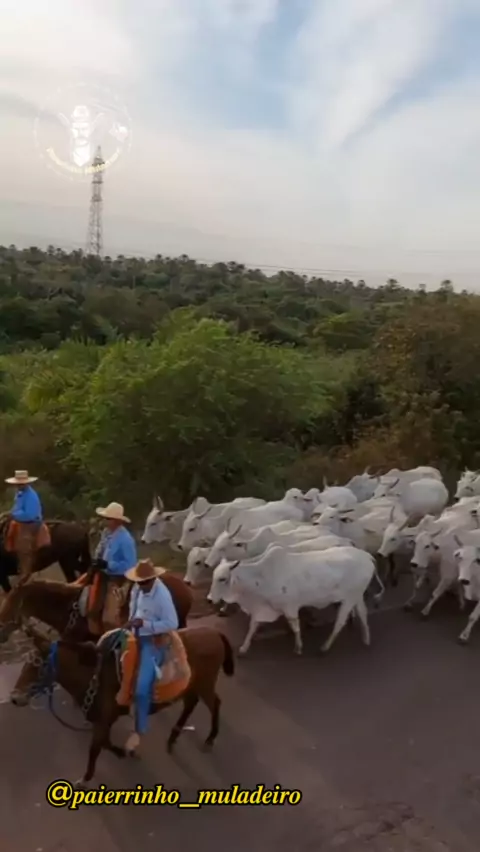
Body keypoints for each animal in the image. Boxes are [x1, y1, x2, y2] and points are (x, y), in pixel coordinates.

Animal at [12, 620, 234, 786]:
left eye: (38, 665)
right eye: (25, 663)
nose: (14, 697)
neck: (96, 675)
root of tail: (215, 633)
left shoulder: (103, 721)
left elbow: (96, 747)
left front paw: (86, 778)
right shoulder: (103, 721)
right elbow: (105, 742)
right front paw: (124, 751)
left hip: (205, 683)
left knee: (215, 703)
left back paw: (210, 739)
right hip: (192, 685)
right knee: (191, 703)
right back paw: (173, 737)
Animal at [207, 545, 380, 656]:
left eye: (222, 579)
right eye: (214, 576)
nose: (209, 599)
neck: (262, 577)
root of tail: (367, 556)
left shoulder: (289, 607)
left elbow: (295, 626)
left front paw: (298, 648)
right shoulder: (262, 608)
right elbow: (252, 626)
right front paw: (243, 648)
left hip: (349, 599)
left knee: (340, 622)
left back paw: (325, 647)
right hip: (357, 596)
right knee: (363, 614)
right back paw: (366, 639)